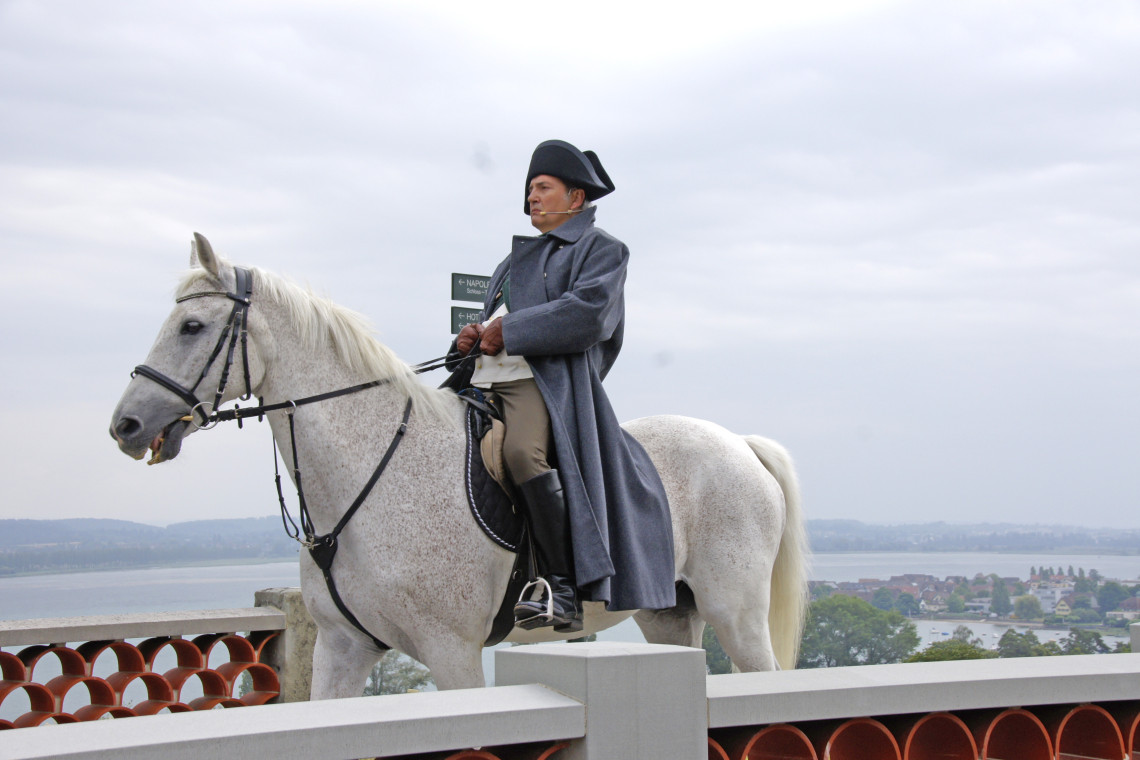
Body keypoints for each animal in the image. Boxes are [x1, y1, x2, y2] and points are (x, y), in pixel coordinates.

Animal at [108, 234, 811, 697]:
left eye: (193, 326)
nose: (126, 425)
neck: (371, 474)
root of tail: (740, 443)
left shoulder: (452, 655)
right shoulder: (342, 649)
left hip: (736, 613)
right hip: (668, 614)